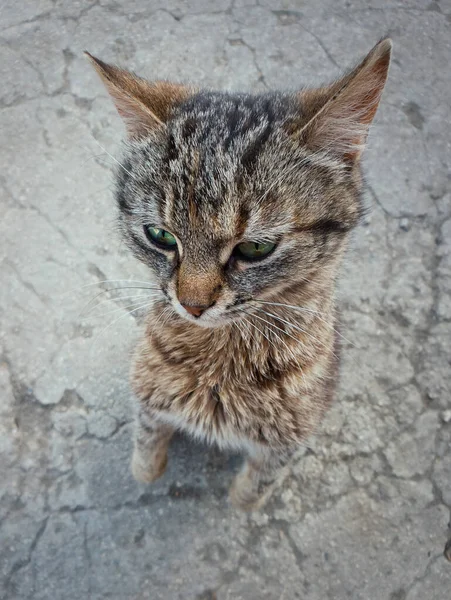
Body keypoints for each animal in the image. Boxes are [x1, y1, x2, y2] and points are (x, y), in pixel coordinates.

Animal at [87, 37, 392, 508]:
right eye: (160, 235)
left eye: (255, 247)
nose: (192, 305)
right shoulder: (147, 387)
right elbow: (147, 436)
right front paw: (147, 465)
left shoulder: (290, 438)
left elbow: (257, 483)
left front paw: (242, 497)